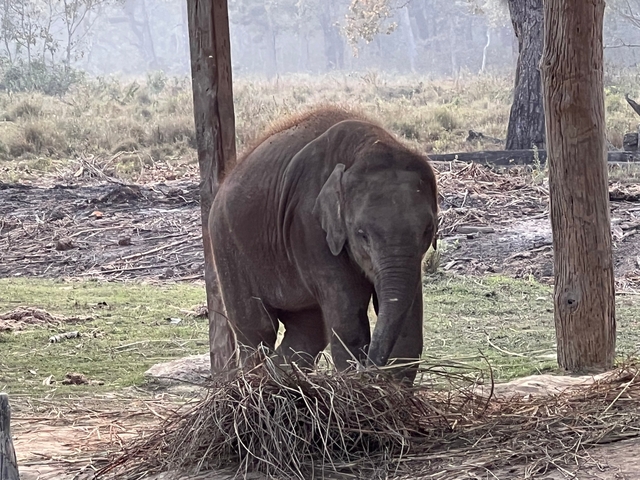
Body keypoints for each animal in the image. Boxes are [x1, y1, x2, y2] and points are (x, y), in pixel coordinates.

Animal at [209, 106, 438, 384]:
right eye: (361, 234)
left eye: (428, 230)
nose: (369, 369)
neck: (368, 145)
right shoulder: (308, 226)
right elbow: (348, 315)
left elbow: (409, 322)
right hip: (227, 245)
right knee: (257, 329)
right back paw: (255, 383)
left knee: (308, 331)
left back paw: (281, 382)